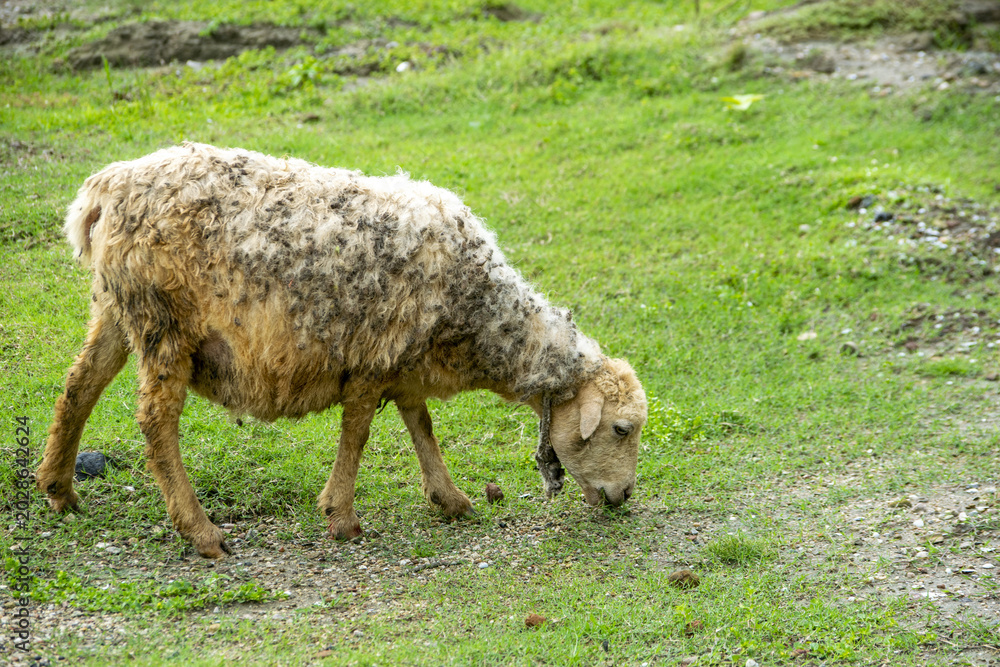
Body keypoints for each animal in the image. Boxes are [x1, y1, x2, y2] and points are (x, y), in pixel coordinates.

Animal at [37, 143, 648, 558]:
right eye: (621, 429)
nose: (622, 496)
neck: (477, 317)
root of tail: (102, 190)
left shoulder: (402, 360)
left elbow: (420, 423)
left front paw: (449, 498)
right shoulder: (373, 356)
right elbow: (358, 432)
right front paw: (342, 516)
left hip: (117, 309)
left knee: (78, 386)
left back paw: (59, 489)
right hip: (164, 321)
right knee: (155, 421)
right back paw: (201, 530)